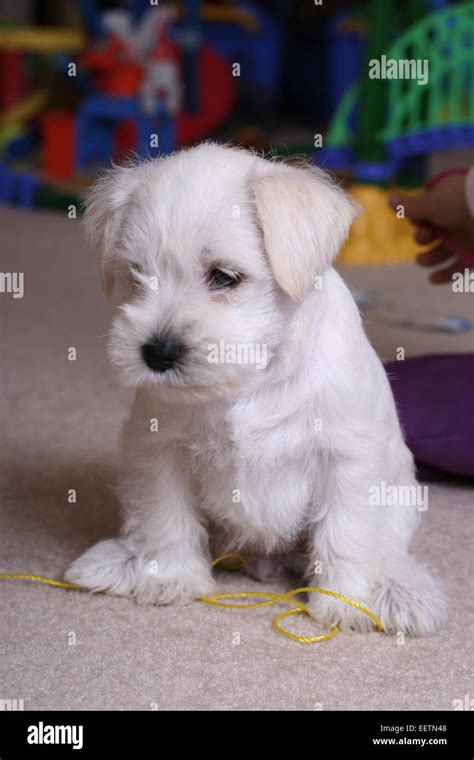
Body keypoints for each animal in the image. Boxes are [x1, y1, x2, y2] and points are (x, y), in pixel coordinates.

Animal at [65, 142, 446, 636]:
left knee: (388, 548)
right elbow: (166, 515)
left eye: (224, 277)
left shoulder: (347, 458)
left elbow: (347, 531)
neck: (251, 378)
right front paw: (170, 577)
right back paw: (122, 559)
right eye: (138, 274)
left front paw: (344, 602)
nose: (157, 353)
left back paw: (402, 590)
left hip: (401, 497)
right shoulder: (159, 449)